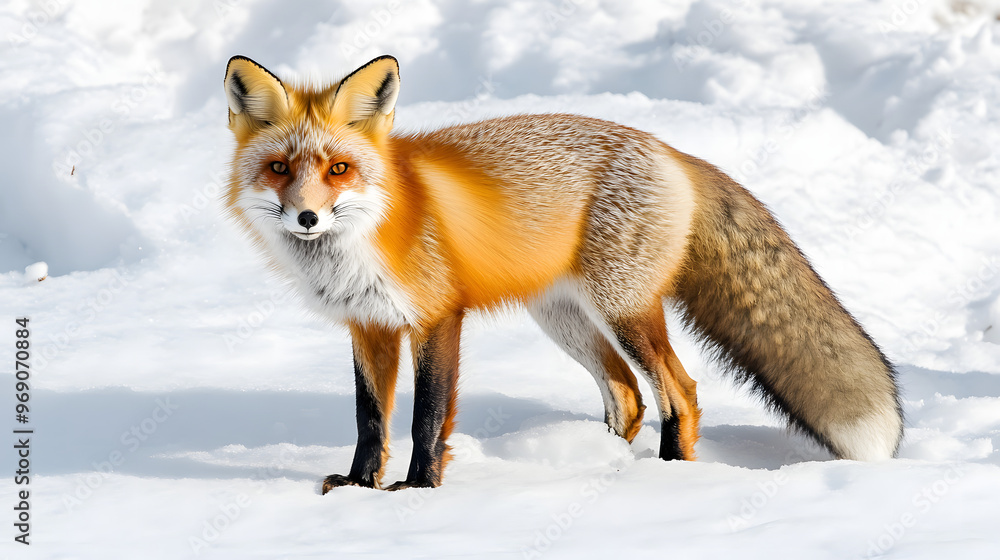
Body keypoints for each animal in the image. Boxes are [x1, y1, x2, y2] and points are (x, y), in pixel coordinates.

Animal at [222, 55, 903, 492]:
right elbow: (370, 420)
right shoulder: (368, 326)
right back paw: (599, 469)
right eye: (280, 168)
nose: (307, 217)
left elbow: (426, 417)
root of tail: (670, 149)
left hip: (623, 308)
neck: (366, 239)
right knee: (628, 395)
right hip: (564, 319)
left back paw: (668, 480)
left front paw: (417, 491)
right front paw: (359, 487)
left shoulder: (437, 318)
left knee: (678, 391)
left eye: (338, 168)